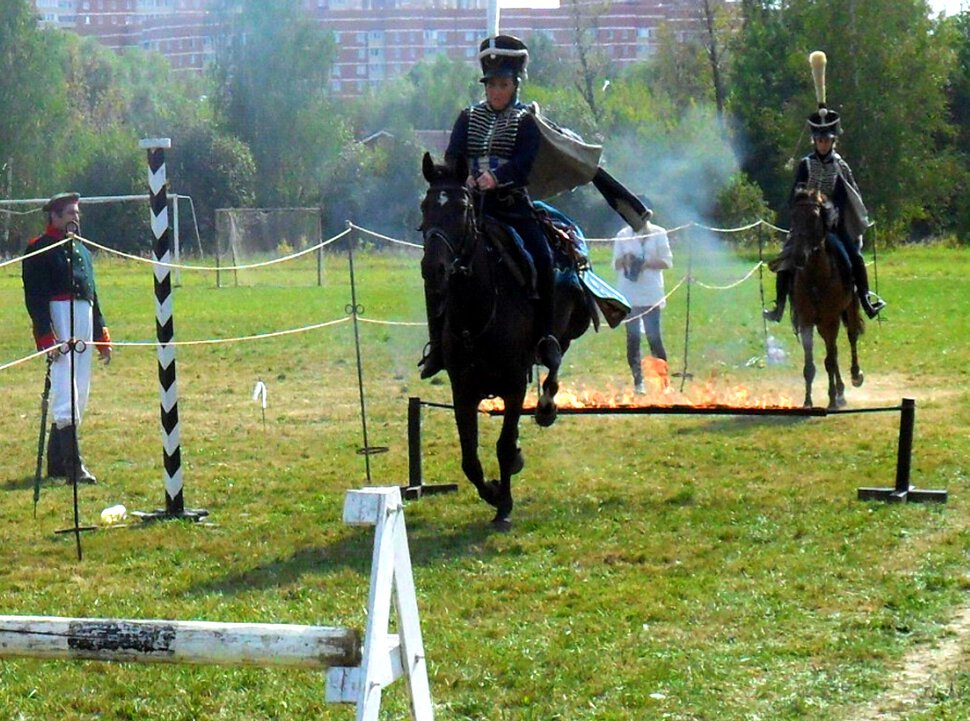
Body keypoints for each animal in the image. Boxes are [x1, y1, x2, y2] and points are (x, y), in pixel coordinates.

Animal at [416, 152, 588, 524]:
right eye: (425, 206)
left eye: (462, 207)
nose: (433, 268)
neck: (476, 311)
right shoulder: (462, 391)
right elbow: (470, 459)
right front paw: (494, 492)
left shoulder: (513, 385)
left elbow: (505, 446)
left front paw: (504, 506)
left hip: (562, 332)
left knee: (554, 359)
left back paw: (547, 407)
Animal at [788, 188, 864, 408]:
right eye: (793, 216)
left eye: (814, 217)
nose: (798, 257)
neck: (815, 277)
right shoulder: (806, 321)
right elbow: (810, 365)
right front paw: (808, 402)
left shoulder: (831, 320)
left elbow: (829, 361)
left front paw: (831, 401)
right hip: (822, 323)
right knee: (835, 350)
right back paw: (840, 392)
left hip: (848, 310)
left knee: (851, 337)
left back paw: (854, 377)